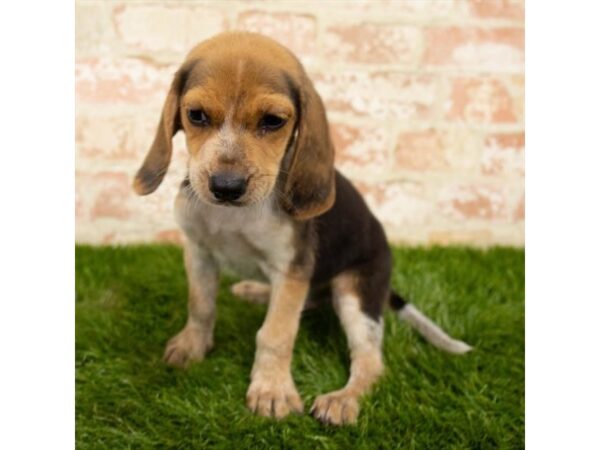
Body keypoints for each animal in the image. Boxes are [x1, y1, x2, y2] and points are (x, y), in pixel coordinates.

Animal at [134, 31, 472, 426]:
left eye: (273, 121)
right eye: (196, 115)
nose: (226, 187)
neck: (233, 217)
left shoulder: (292, 269)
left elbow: (275, 334)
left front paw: (271, 390)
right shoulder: (199, 251)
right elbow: (200, 305)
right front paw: (192, 346)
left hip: (355, 294)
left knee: (370, 363)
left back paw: (343, 400)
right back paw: (255, 291)